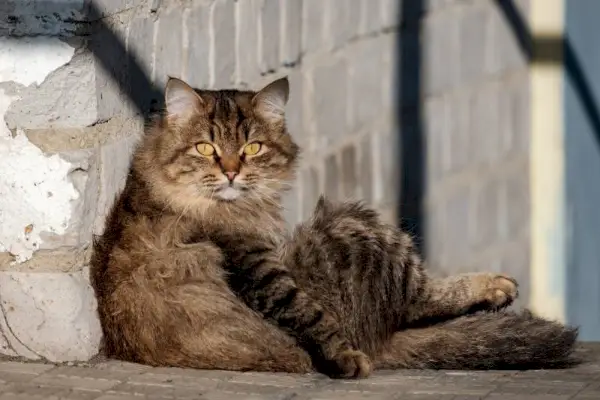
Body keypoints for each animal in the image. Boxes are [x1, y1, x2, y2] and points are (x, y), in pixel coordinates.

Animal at [91, 75, 580, 378]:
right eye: (206, 148)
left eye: (252, 148)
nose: (230, 172)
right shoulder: (262, 269)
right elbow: (311, 316)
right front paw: (345, 359)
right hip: (354, 226)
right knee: (417, 299)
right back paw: (493, 287)